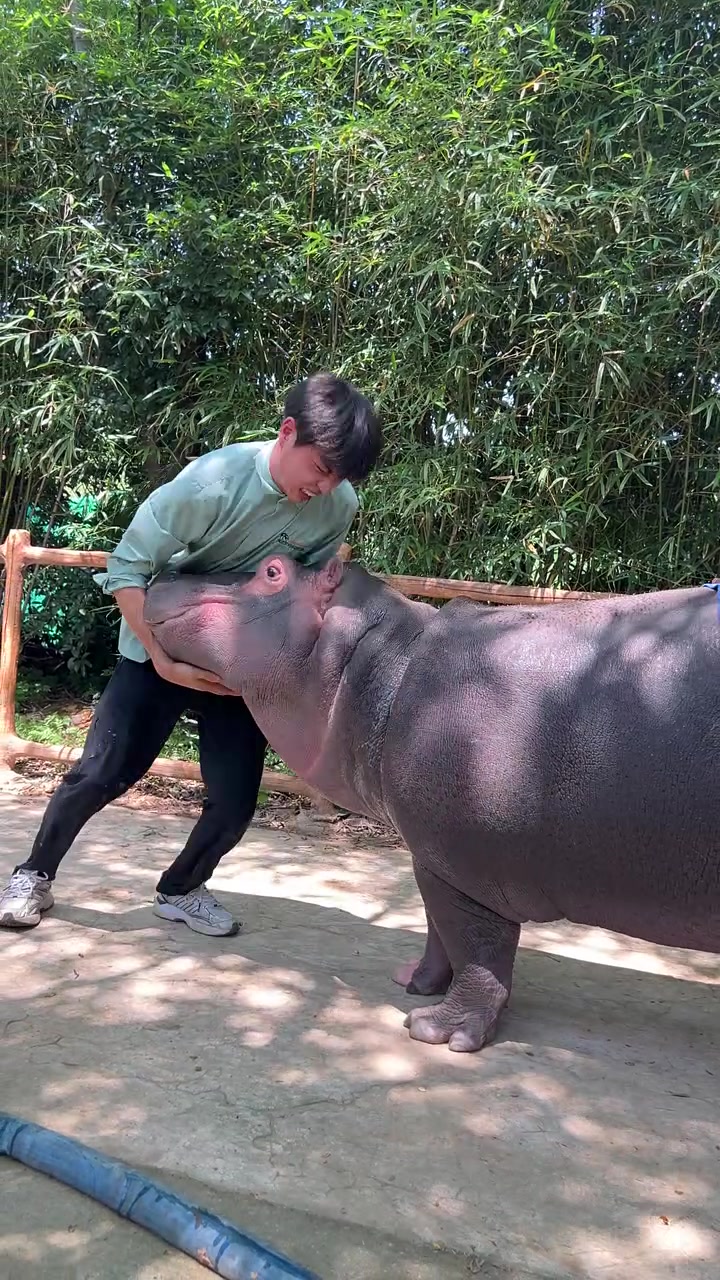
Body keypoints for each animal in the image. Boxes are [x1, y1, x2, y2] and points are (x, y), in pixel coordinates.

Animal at [144, 555, 720, 1052]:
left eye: (272, 571)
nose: (167, 569)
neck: (381, 663)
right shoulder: (436, 860)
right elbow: (436, 926)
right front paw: (414, 983)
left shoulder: (469, 867)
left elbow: (475, 944)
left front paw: (438, 1032)